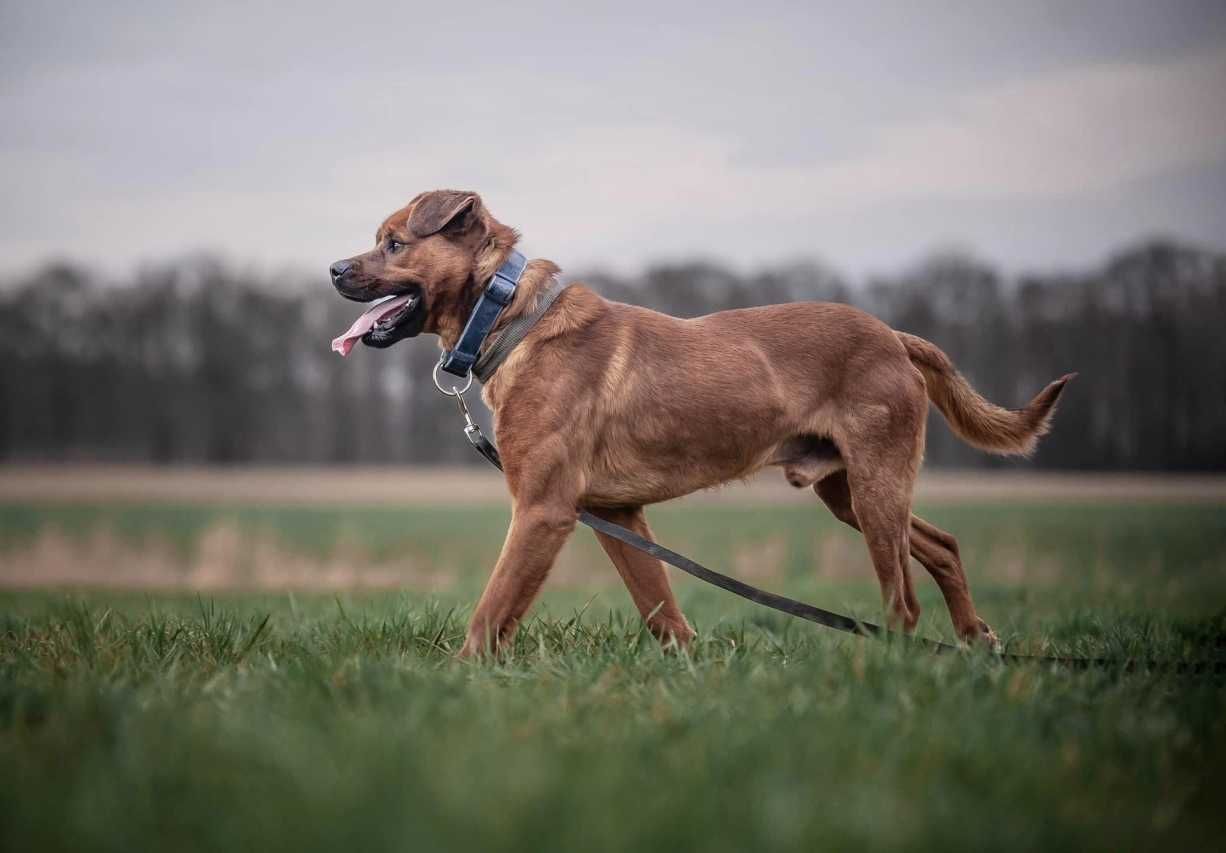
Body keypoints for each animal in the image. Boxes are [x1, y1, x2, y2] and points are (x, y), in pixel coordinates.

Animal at [331, 191, 1069, 652]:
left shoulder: (542, 510)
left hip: (875, 483)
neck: (508, 316)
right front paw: (688, 670)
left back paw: (892, 665)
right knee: (943, 544)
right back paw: (975, 639)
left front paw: (459, 679)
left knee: (903, 598)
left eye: (394, 243)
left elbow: (490, 614)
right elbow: (661, 607)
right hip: (849, 491)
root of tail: (894, 335)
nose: (334, 268)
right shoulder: (616, 513)